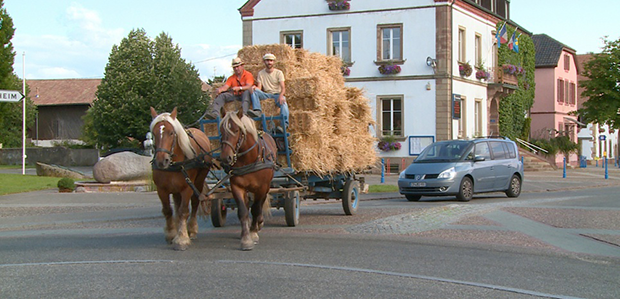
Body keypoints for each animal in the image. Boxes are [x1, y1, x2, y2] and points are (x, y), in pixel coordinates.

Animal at [149, 106, 212, 252]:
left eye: (171, 133)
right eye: (153, 133)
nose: (161, 161)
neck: (174, 163)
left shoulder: (187, 188)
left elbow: (184, 211)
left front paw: (182, 239)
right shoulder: (162, 189)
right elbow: (168, 211)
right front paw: (172, 234)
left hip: (198, 182)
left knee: (194, 203)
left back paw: (192, 230)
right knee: (177, 206)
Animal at [218, 109, 276, 251]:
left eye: (236, 130)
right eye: (221, 130)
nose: (225, 157)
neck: (249, 159)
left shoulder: (261, 187)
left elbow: (256, 209)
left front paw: (253, 232)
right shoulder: (237, 187)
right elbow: (243, 211)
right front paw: (245, 239)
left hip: (265, 187)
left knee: (259, 205)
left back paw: (258, 223)